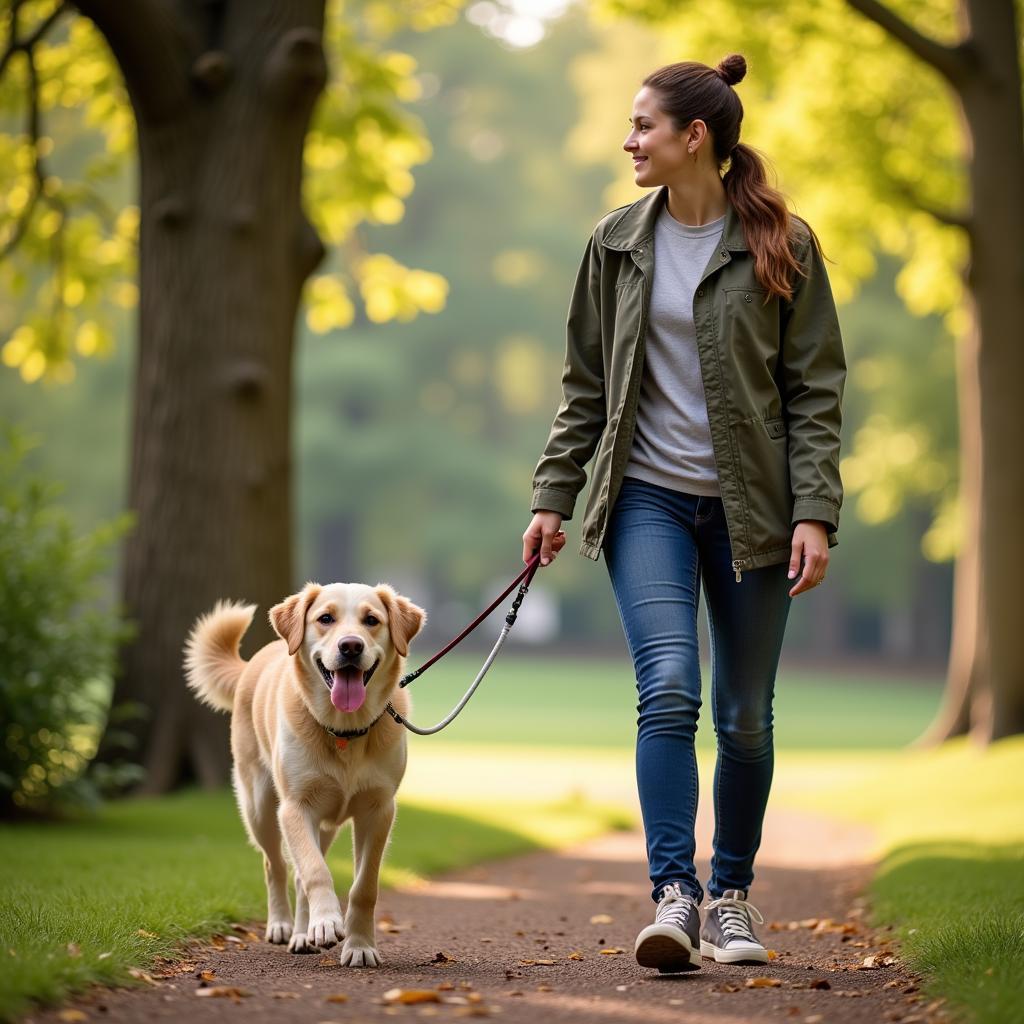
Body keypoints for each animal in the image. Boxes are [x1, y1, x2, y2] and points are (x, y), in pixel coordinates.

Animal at [183, 585, 423, 966]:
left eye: (372, 620)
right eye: (325, 618)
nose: (350, 646)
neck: (344, 731)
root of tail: (254, 661)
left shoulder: (378, 810)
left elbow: (364, 886)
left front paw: (360, 946)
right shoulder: (296, 808)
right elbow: (315, 871)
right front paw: (326, 922)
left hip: (326, 824)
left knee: (297, 873)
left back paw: (302, 932)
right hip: (260, 807)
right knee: (277, 866)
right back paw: (286, 928)